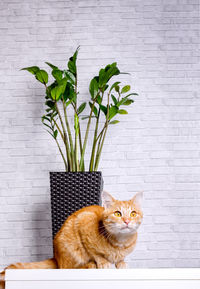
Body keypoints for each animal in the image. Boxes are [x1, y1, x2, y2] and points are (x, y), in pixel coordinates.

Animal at [0, 190, 143, 286]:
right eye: (118, 214)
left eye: (133, 213)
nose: (127, 221)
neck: (120, 242)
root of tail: (56, 257)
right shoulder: (84, 220)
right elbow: (95, 252)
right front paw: (103, 261)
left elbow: (120, 258)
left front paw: (121, 262)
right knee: (67, 267)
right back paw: (89, 264)